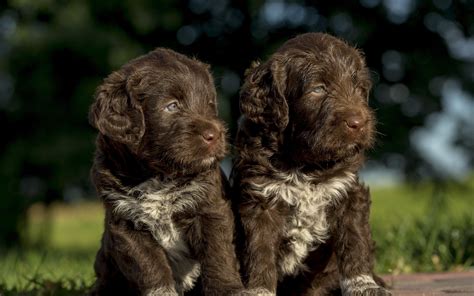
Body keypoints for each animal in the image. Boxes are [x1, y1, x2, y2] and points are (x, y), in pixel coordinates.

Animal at [89, 48, 244, 296]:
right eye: (172, 106)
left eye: (210, 104)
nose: (215, 135)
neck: (159, 177)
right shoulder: (126, 224)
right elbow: (149, 265)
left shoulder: (211, 209)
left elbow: (218, 254)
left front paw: (228, 289)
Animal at [231, 33, 390, 294]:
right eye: (318, 89)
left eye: (358, 87)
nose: (358, 123)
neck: (305, 165)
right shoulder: (260, 200)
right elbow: (259, 250)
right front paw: (260, 289)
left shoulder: (348, 192)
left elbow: (355, 242)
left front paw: (364, 285)